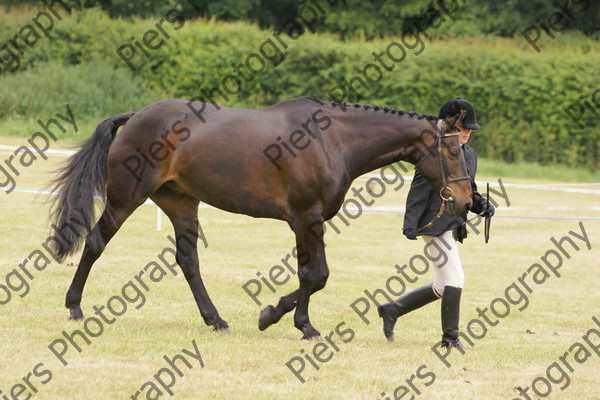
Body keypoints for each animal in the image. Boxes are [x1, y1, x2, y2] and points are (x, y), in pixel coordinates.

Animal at [50, 96, 474, 338]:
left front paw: (276, 315)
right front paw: (298, 325)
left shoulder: (309, 222)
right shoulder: (306, 218)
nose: (466, 202)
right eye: (453, 151)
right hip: (126, 199)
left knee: (188, 260)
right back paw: (74, 306)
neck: (333, 140)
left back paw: (216, 320)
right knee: (95, 242)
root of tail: (137, 116)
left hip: (182, 204)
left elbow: (310, 276)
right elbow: (316, 275)